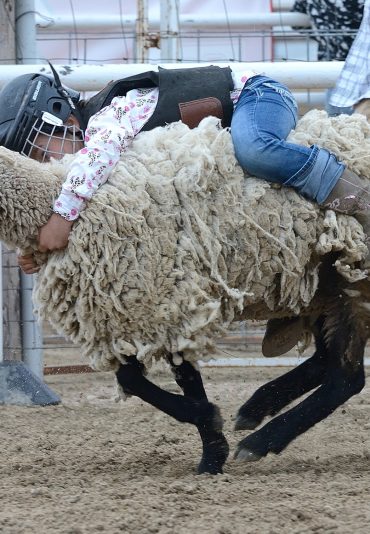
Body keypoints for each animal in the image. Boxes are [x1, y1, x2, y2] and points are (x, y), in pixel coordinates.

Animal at [0, 110, 368, 478]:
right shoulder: (134, 313)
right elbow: (136, 379)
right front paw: (213, 441)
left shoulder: (165, 303)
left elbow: (162, 379)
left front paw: (211, 446)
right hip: (326, 288)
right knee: (329, 365)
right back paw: (256, 409)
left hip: (355, 286)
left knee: (346, 378)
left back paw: (260, 440)